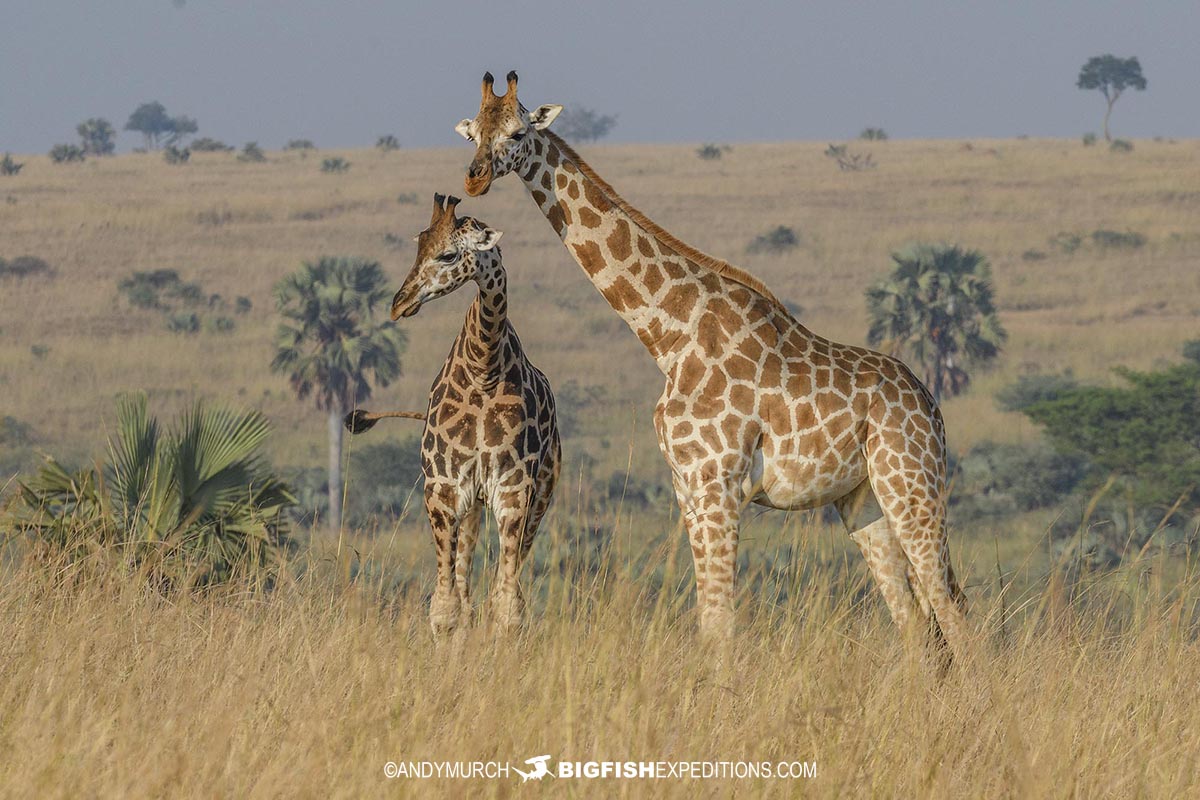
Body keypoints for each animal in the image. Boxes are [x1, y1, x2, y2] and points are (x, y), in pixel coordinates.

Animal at [348, 193, 561, 638]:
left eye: (448, 254)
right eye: (418, 245)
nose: (399, 304)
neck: (484, 368)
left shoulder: (514, 491)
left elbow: (507, 608)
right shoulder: (443, 489)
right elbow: (446, 607)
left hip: (538, 499)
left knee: (501, 586)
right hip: (473, 503)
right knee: (465, 588)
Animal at [453, 71, 969, 661]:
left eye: (517, 133)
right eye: (473, 132)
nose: (473, 179)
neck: (669, 336)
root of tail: (931, 406)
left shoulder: (719, 483)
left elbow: (722, 622)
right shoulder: (689, 488)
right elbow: (708, 619)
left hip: (911, 483)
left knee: (952, 607)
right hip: (863, 501)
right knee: (914, 620)